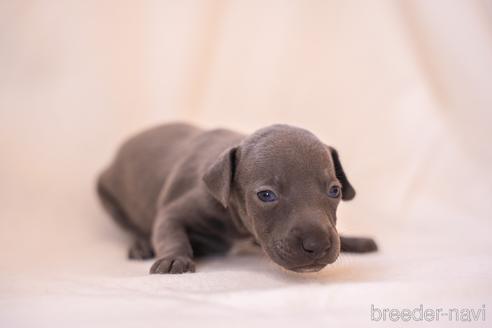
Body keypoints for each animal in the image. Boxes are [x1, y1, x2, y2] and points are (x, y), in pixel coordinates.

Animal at [98, 123, 378, 274]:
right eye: (266, 195)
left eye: (335, 191)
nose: (317, 244)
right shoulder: (177, 209)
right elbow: (169, 230)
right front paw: (174, 258)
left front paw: (354, 240)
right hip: (107, 197)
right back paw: (141, 245)